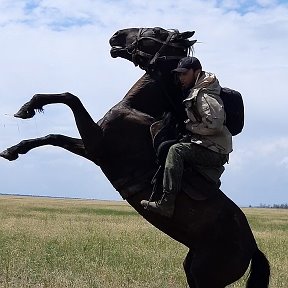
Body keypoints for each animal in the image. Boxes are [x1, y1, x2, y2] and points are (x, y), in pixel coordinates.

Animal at [0, 27, 270, 288]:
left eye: (158, 32)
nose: (116, 35)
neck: (138, 108)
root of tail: (252, 248)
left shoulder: (97, 144)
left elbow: (70, 98)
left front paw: (27, 108)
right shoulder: (89, 148)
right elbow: (53, 136)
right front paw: (13, 148)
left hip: (205, 277)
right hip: (192, 269)